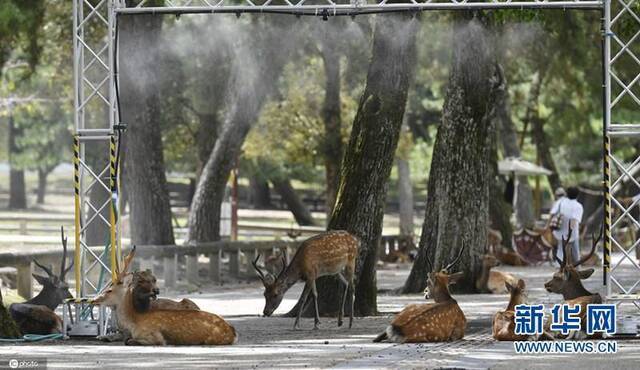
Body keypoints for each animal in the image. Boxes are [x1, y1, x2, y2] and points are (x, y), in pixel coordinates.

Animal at [92, 247, 235, 346]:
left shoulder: (154, 336)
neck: (134, 322)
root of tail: (232, 332)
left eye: (109, 290)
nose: (93, 300)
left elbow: (129, 341)